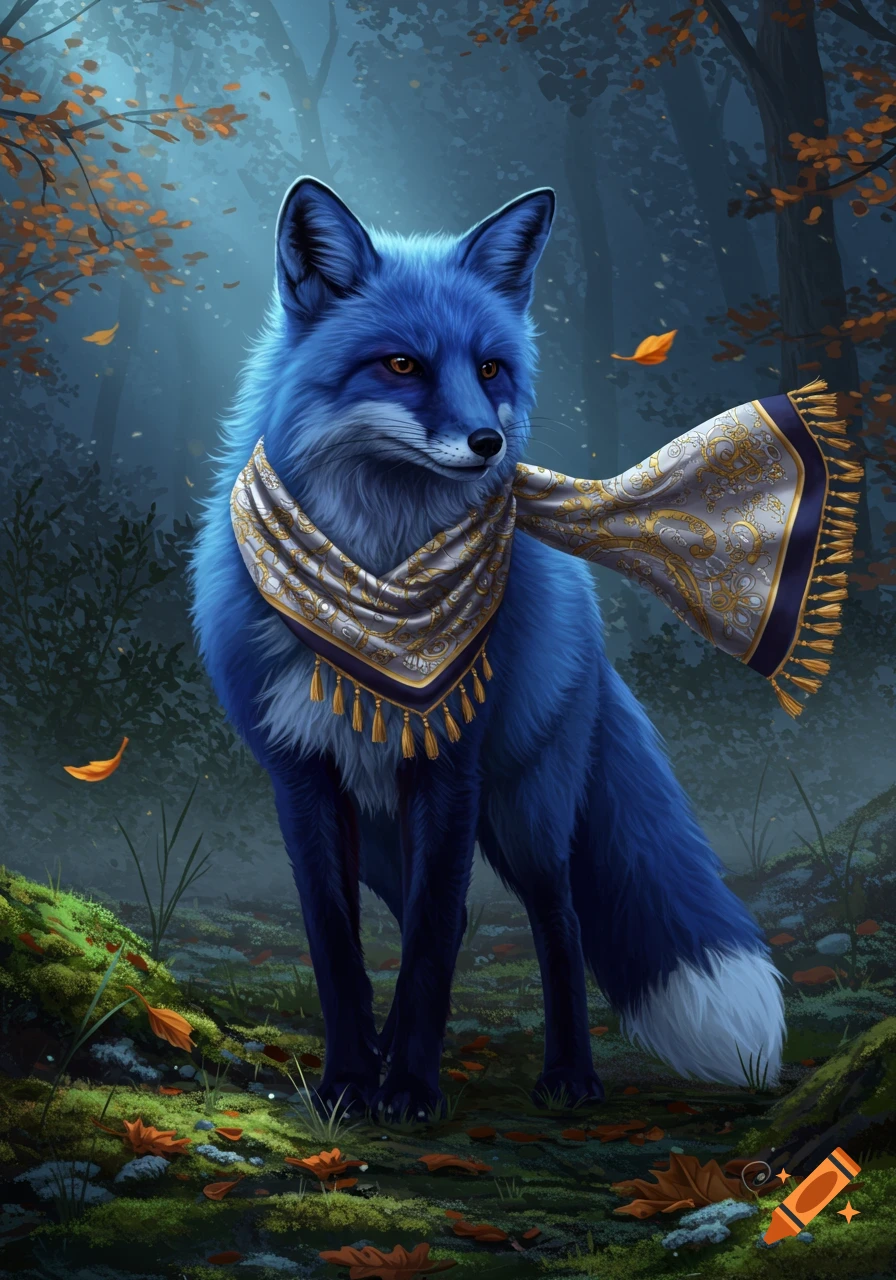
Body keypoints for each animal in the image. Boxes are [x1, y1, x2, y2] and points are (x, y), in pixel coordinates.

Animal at [191, 176, 786, 1119]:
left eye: (491, 369)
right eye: (401, 365)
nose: (489, 444)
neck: (379, 591)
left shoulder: (450, 766)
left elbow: (434, 941)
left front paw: (410, 1088)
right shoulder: (301, 776)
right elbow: (338, 947)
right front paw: (349, 1080)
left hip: (525, 812)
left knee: (558, 921)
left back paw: (568, 1075)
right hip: (389, 833)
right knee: (441, 917)